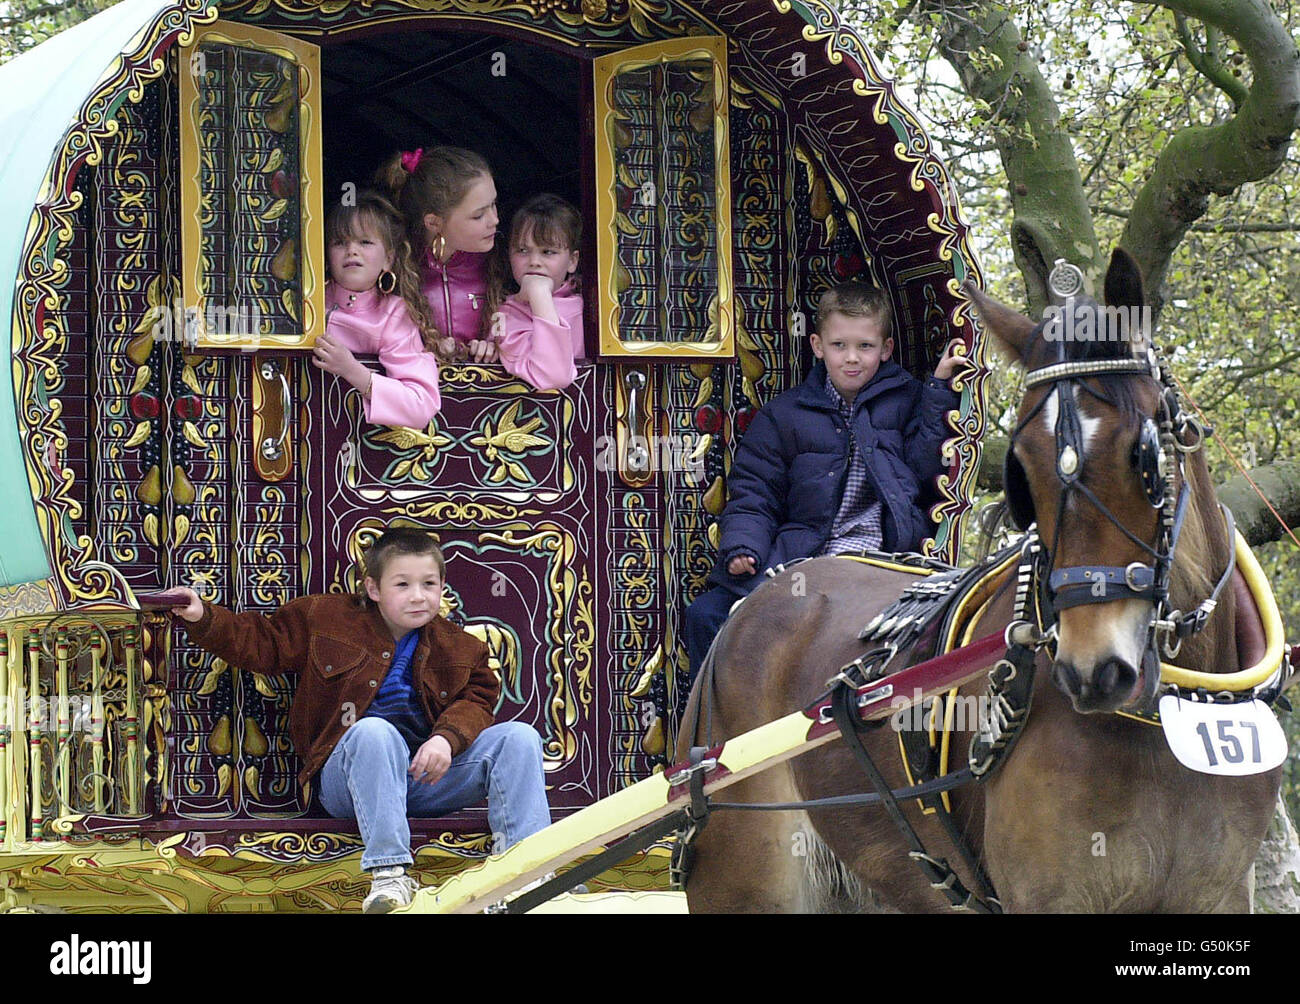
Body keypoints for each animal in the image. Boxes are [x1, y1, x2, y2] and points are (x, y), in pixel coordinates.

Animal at [681, 248, 1279, 910]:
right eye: (1023, 471)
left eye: (1143, 453)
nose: (1092, 669)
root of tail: (753, 602)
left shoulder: (1219, 891)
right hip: (746, 869)